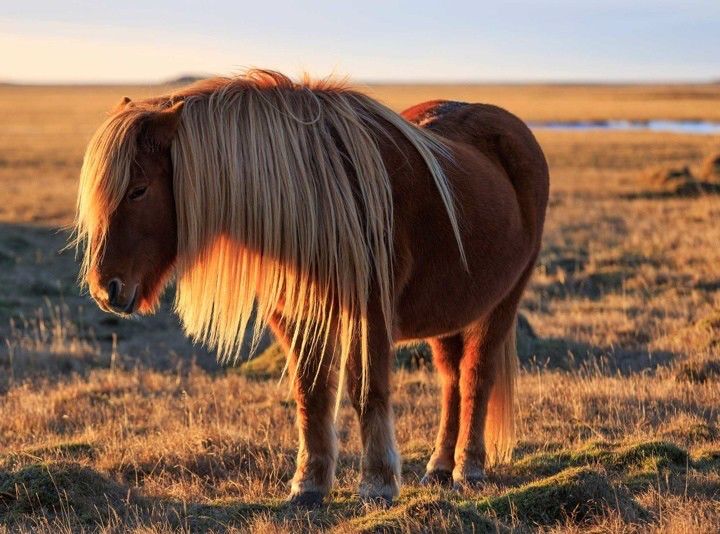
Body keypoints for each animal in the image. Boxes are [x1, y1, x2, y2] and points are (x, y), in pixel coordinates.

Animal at [73, 70, 548, 506]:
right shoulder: (297, 315)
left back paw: (470, 468)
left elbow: (367, 392)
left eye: (138, 190)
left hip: (502, 302)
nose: (105, 289)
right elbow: (311, 394)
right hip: (449, 310)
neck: (319, 199)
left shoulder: (371, 314)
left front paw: (377, 483)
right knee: (451, 380)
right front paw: (309, 484)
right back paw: (439, 468)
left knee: (476, 377)